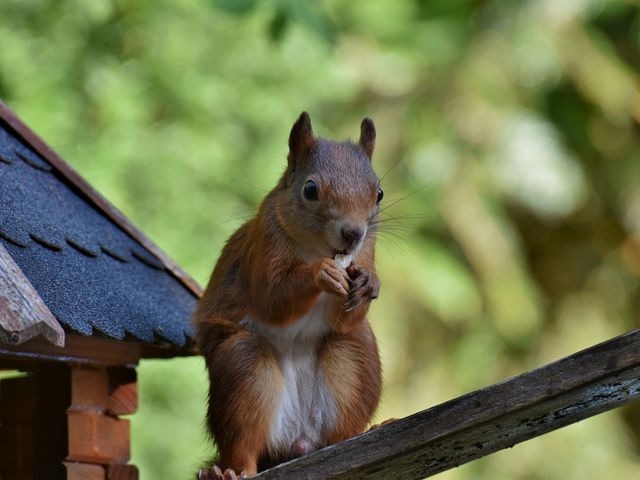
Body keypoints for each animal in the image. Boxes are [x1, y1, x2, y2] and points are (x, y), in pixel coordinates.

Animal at [195, 113, 382, 480]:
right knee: (244, 444)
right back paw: (232, 472)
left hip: (354, 357)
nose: (353, 233)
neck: (317, 249)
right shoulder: (265, 244)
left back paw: (360, 434)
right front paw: (321, 273)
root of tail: (298, 439)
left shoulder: (366, 251)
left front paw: (370, 283)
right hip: (246, 368)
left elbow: (346, 316)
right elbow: (273, 299)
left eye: (379, 193)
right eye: (310, 189)